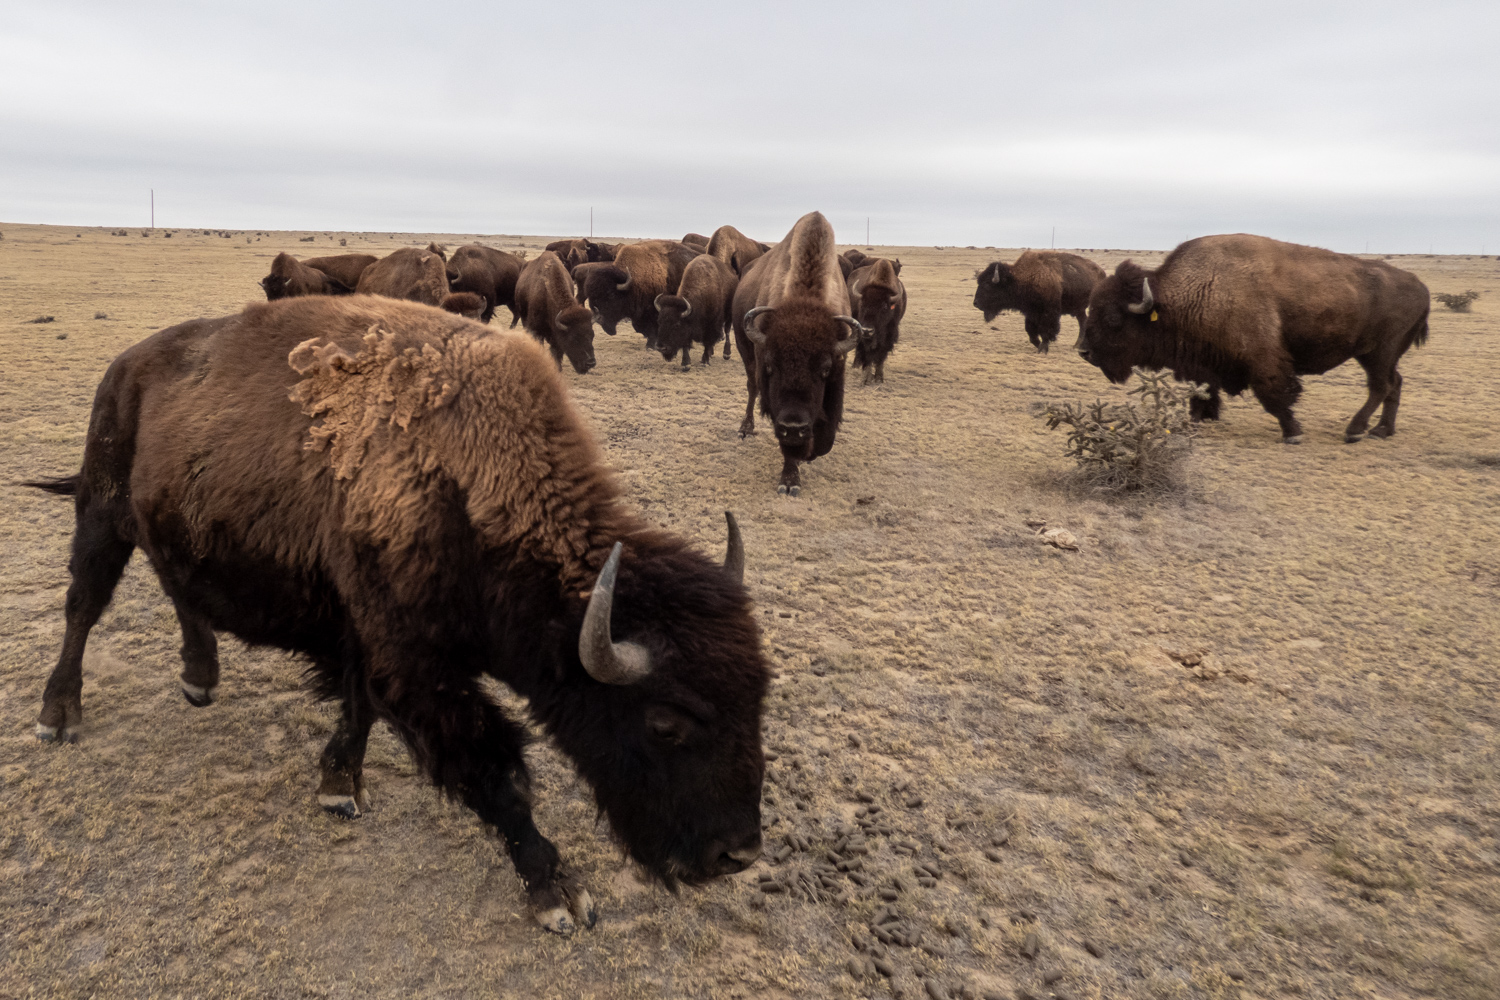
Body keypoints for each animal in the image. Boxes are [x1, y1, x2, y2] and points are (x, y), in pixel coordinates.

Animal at [27, 295, 767, 935]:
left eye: (758, 699)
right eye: (665, 722)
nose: (737, 855)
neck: (466, 478)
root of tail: (125, 366)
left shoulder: (368, 633)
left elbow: (359, 707)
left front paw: (338, 786)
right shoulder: (415, 665)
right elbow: (496, 771)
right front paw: (558, 892)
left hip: (173, 521)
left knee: (178, 586)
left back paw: (199, 678)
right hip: (100, 512)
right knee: (83, 606)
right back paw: (58, 716)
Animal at [732, 211, 863, 495]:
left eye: (825, 368)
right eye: (771, 366)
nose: (794, 427)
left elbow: (827, 436)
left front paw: (810, 453)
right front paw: (790, 481)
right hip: (743, 348)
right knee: (751, 387)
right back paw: (745, 429)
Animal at [974, 251, 1105, 353]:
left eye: (987, 284)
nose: (975, 303)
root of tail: (1101, 272)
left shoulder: (1049, 312)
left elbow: (1047, 330)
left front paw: (1043, 348)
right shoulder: (1030, 312)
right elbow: (1031, 332)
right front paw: (1039, 345)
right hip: (1078, 308)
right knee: (1083, 321)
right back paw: (1077, 345)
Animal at [1078, 234, 1430, 443]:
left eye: (1112, 319)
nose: (1083, 351)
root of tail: (1421, 286)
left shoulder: (1263, 359)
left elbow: (1274, 395)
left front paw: (1292, 433)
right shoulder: (1201, 363)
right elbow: (1202, 392)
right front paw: (1198, 420)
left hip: (1378, 352)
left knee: (1380, 385)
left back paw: (1355, 431)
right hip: (1379, 355)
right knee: (1394, 383)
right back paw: (1382, 430)